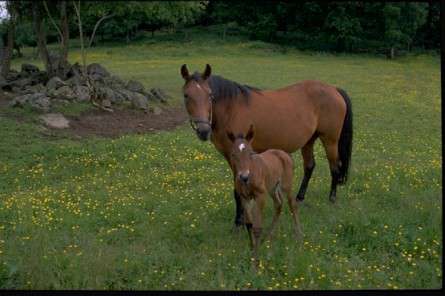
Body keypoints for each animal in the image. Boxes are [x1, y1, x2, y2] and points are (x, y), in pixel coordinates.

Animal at [179, 63, 352, 228]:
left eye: (210, 95)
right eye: (186, 95)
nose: (203, 130)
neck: (231, 109)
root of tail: (333, 89)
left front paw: (239, 222)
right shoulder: (232, 158)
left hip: (330, 140)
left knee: (335, 167)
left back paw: (332, 198)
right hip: (308, 141)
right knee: (309, 166)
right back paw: (299, 198)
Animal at [227, 125, 304, 264]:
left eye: (251, 153)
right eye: (233, 154)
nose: (244, 177)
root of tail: (284, 154)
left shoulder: (260, 196)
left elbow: (257, 227)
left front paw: (255, 258)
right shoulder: (244, 197)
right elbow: (249, 223)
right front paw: (252, 247)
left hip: (286, 186)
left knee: (292, 205)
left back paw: (299, 235)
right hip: (272, 188)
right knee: (278, 204)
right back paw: (268, 235)